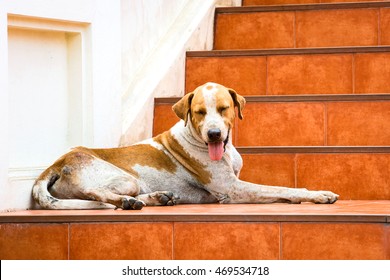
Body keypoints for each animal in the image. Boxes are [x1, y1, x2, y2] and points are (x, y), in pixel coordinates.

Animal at [32, 82, 338, 209]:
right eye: (200, 112)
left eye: (224, 108)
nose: (214, 134)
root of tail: (53, 166)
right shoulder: (233, 190)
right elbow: (282, 189)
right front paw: (318, 194)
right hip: (124, 179)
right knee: (97, 193)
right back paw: (128, 202)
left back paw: (157, 198)